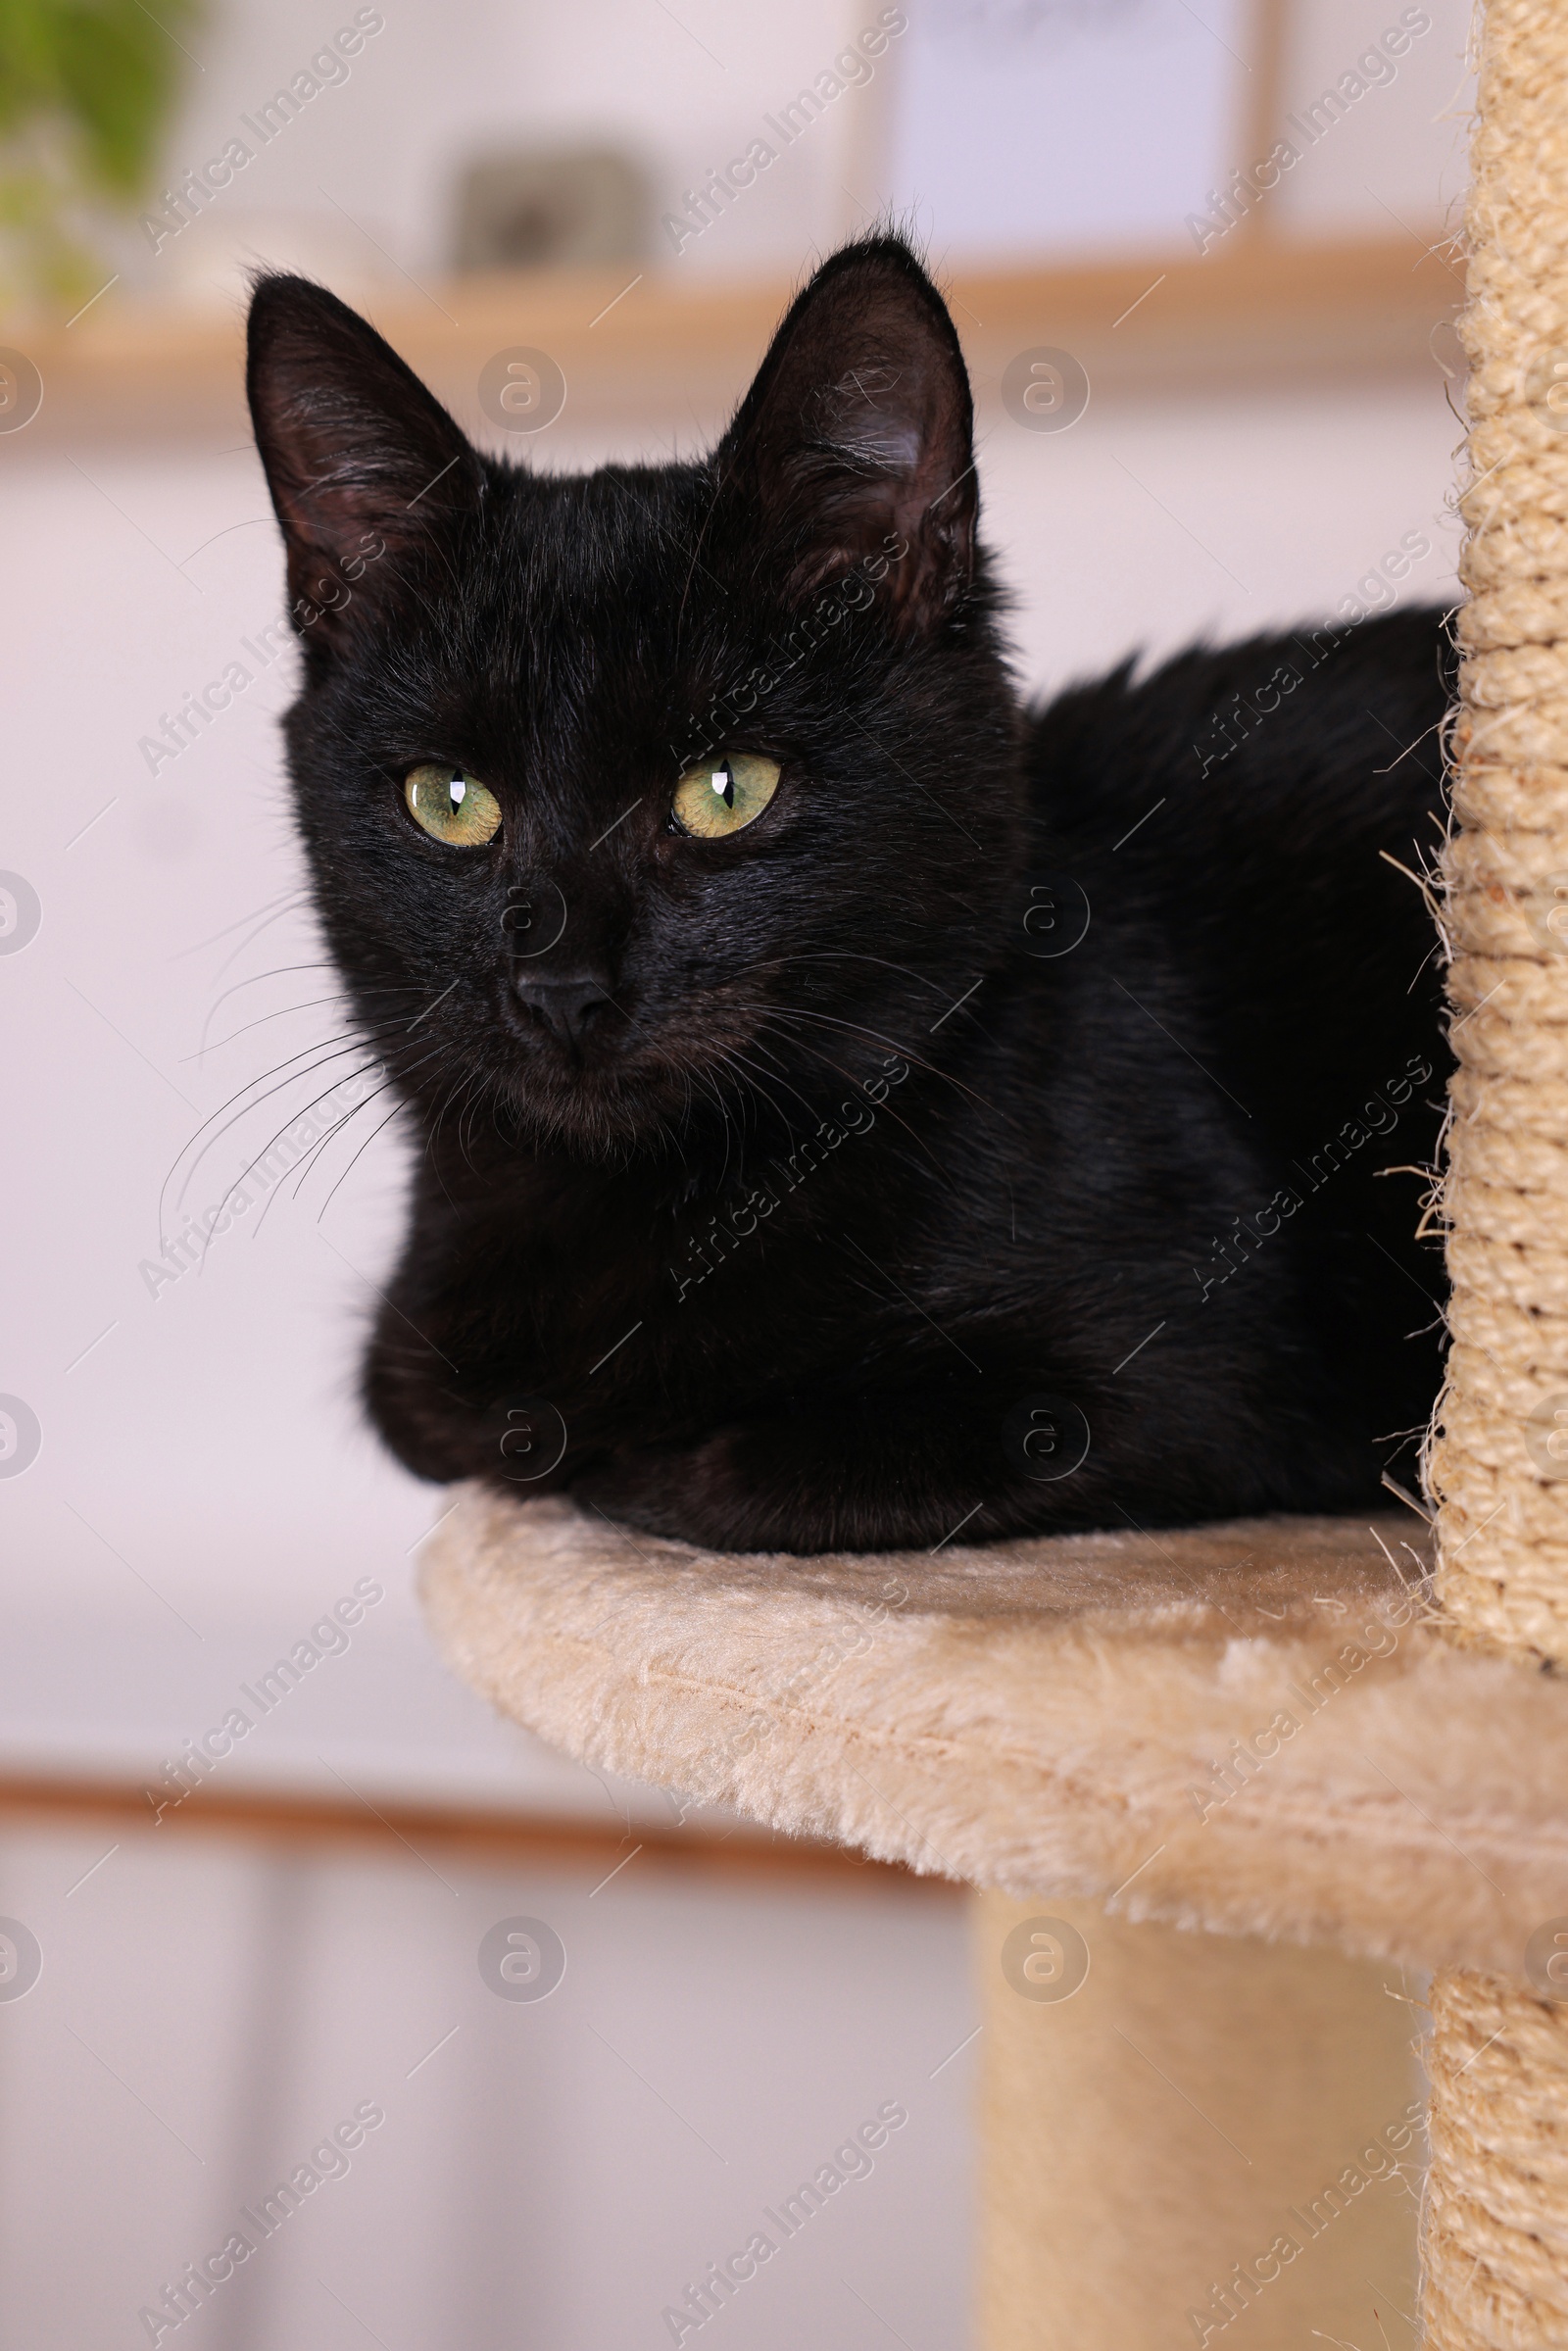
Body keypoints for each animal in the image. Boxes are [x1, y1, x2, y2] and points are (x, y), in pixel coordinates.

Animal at [248, 238, 1457, 1551]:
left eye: (727, 787)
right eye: (450, 799)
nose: (561, 986)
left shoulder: (1177, 1389)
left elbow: (712, 1471)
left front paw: (622, 1460)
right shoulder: (416, 1373)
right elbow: (441, 1414)